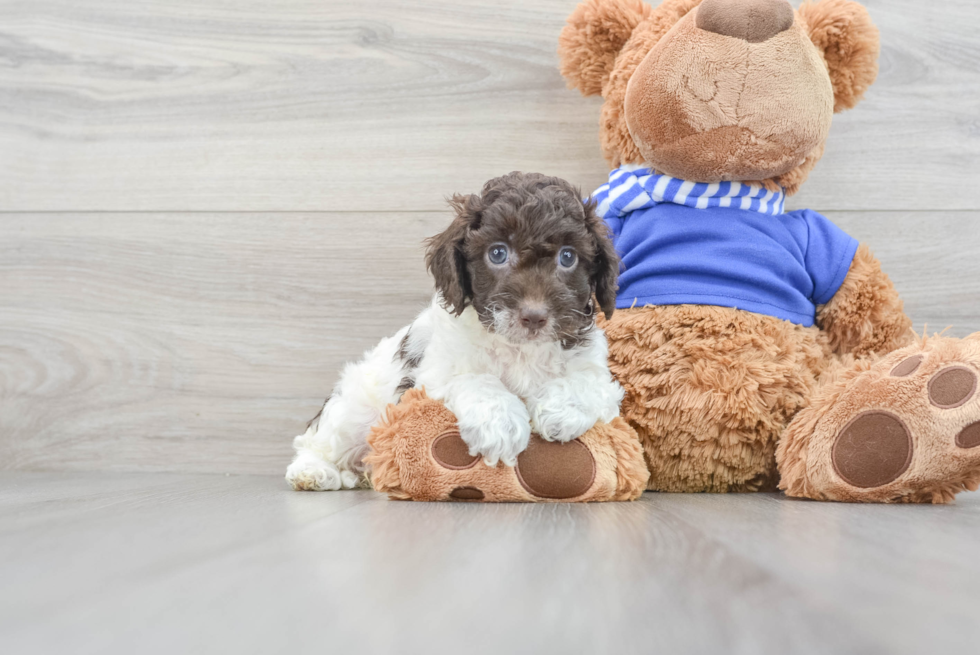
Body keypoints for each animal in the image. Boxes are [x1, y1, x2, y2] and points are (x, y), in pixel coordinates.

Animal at [286, 172, 620, 490]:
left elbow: (589, 381)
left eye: (568, 256)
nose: (534, 316)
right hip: (351, 410)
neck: (520, 349)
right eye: (497, 254)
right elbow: (476, 379)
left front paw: (558, 411)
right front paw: (500, 424)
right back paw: (314, 472)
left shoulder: (593, 363)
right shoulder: (435, 373)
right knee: (318, 441)